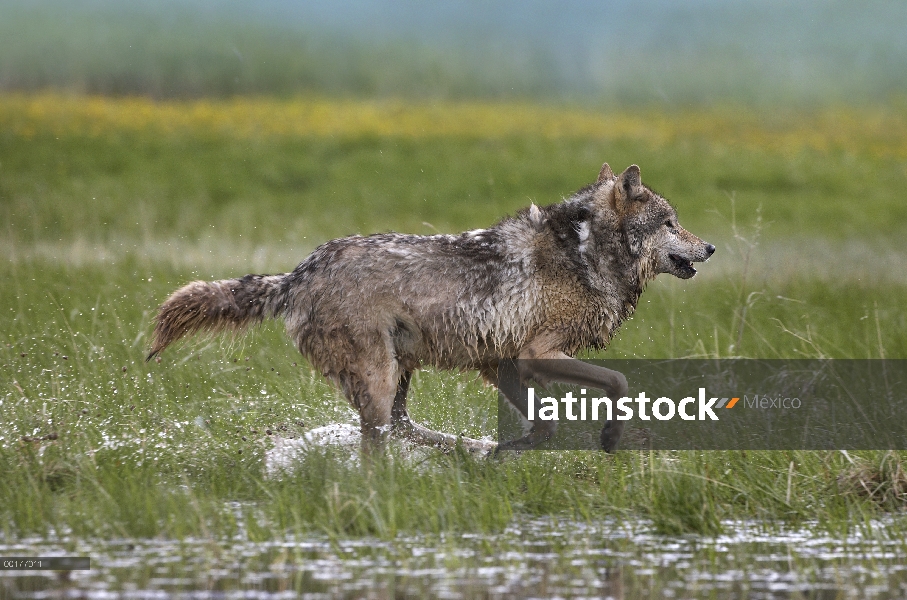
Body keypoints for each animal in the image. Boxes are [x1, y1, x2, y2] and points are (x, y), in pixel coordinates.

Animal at [149, 162, 716, 452]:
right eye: (671, 223)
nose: (710, 248)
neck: (584, 251)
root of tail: (296, 275)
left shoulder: (503, 362)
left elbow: (545, 427)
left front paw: (505, 453)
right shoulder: (537, 354)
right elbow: (618, 382)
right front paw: (609, 436)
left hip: (400, 369)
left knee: (403, 426)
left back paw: (468, 450)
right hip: (380, 378)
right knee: (378, 441)